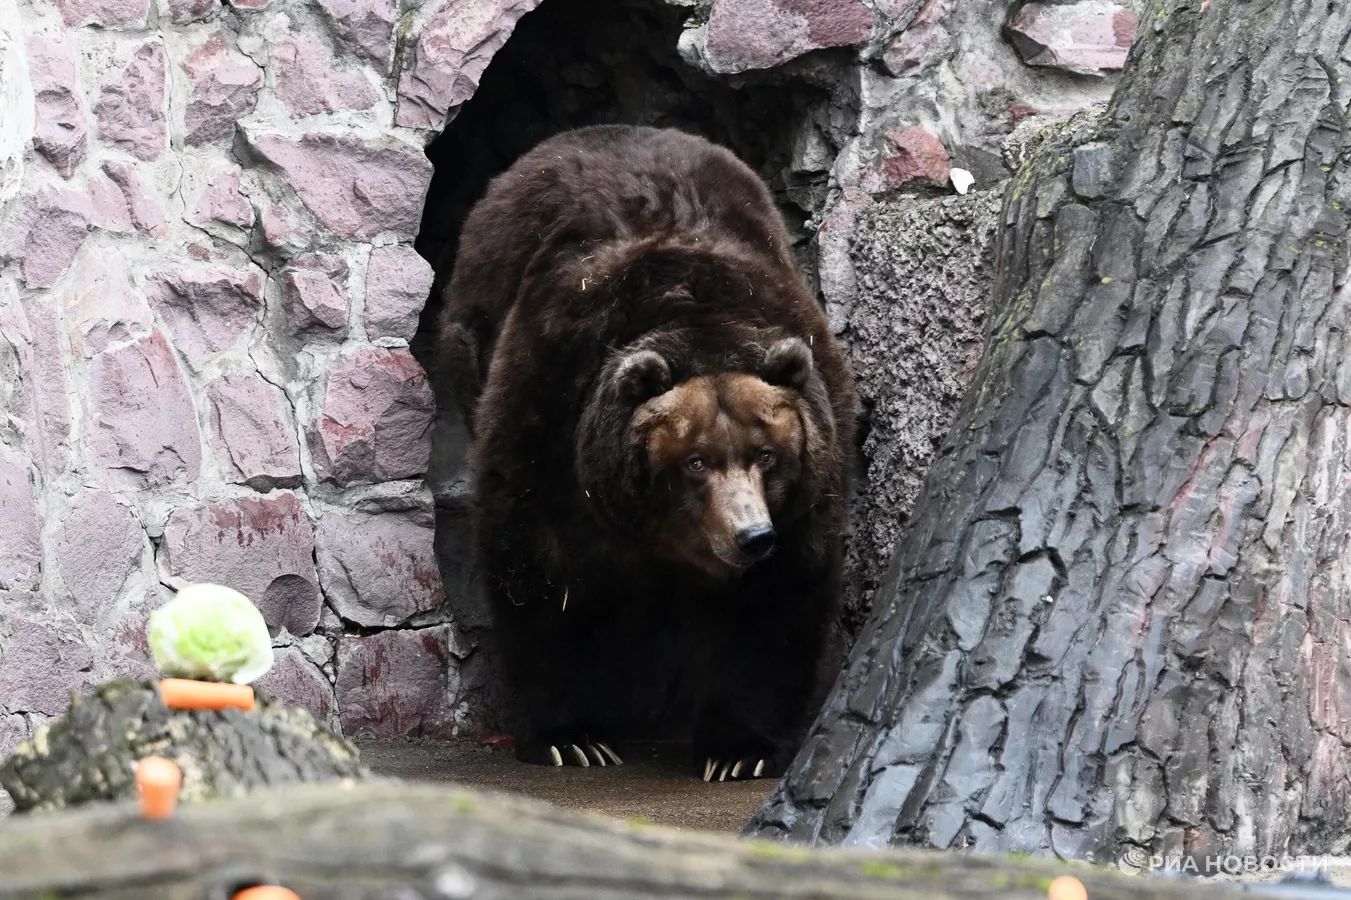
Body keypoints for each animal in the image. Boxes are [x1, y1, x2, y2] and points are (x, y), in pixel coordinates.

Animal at [437, 122, 848, 772]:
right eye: (696, 461)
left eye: (766, 455)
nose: (751, 535)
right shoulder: (550, 414)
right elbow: (542, 575)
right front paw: (572, 737)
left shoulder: (809, 473)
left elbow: (778, 599)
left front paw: (739, 750)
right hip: (474, 338)